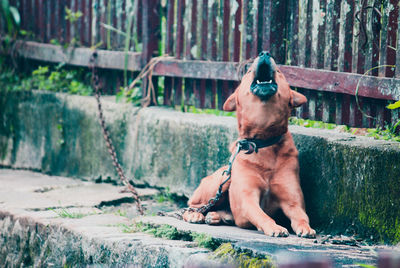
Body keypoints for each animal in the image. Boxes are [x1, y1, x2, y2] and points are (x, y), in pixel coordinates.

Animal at [182, 52, 316, 239]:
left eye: (280, 72)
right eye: (248, 71)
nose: (265, 53)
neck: (263, 142)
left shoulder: (293, 201)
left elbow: (302, 216)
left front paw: (306, 228)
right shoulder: (248, 199)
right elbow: (261, 215)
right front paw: (274, 227)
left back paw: (216, 216)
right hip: (221, 180)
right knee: (193, 206)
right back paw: (196, 215)